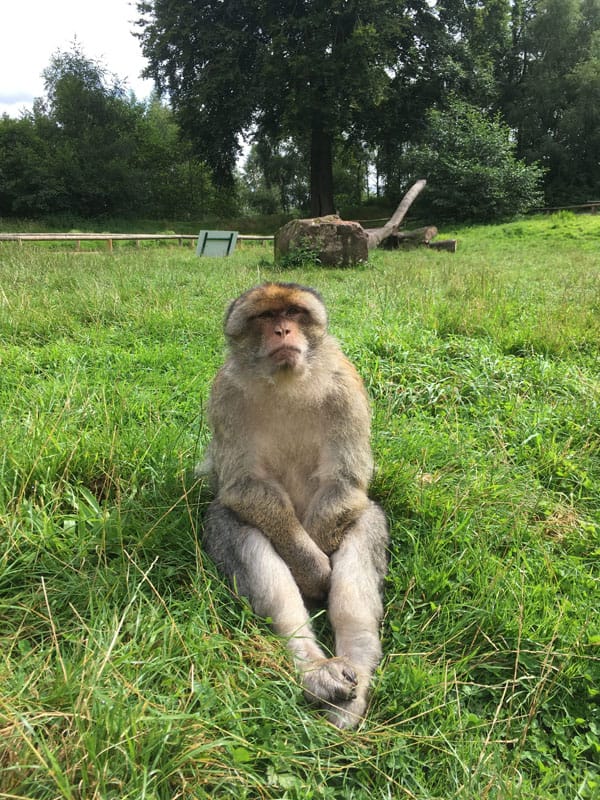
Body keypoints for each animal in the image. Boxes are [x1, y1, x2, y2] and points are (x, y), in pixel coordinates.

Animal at [202, 282, 390, 732]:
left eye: (293, 313)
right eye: (264, 317)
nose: (283, 331)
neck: (287, 383)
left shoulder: (346, 385)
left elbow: (345, 481)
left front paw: (318, 569)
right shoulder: (224, 396)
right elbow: (243, 488)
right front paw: (310, 568)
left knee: (363, 522)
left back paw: (355, 670)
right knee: (230, 522)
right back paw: (315, 670)